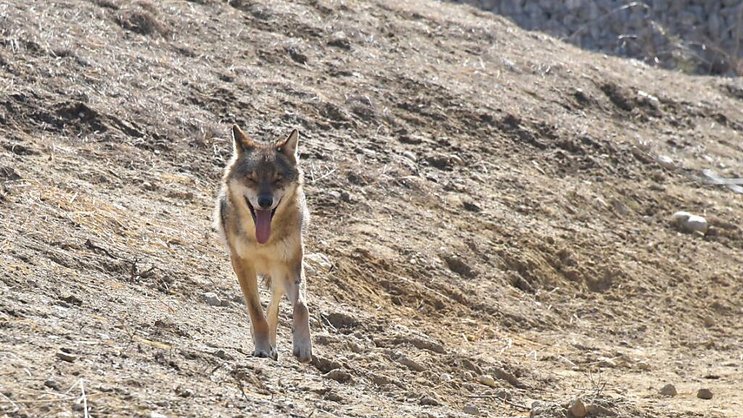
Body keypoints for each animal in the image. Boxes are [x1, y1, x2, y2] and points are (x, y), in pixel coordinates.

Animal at [213, 125, 312, 362]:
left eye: (277, 180)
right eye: (251, 179)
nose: (265, 202)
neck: (262, 242)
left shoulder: (293, 264)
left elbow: (301, 306)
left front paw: (303, 345)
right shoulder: (241, 264)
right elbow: (255, 311)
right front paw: (261, 347)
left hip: (278, 273)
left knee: (274, 306)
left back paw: (274, 345)